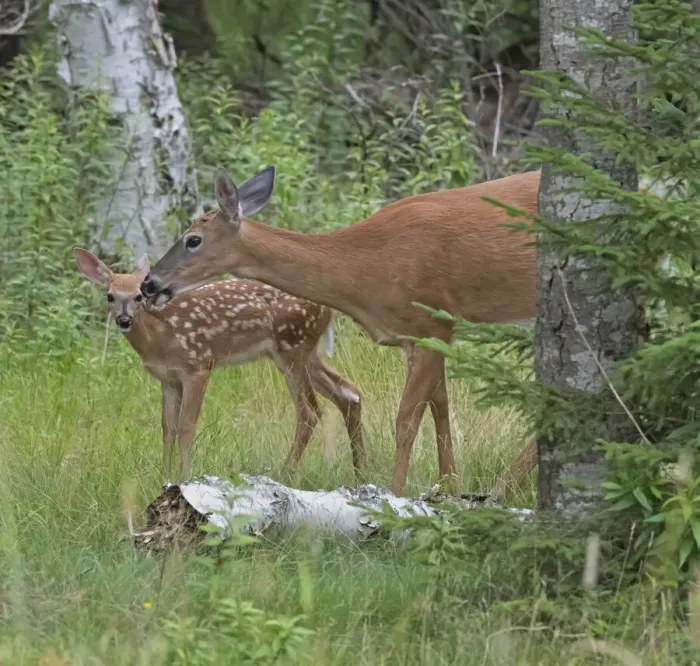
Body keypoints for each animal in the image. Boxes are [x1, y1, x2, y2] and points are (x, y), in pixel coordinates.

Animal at [74, 248, 366, 484]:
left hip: (293, 346)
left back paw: (285, 473)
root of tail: (328, 307)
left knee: (309, 412)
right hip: (302, 353)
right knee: (349, 392)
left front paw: (183, 478)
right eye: (110, 296)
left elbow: (186, 426)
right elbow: (167, 429)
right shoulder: (168, 379)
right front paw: (164, 477)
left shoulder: (198, 365)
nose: (124, 320)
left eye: (138, 296)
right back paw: (361, 471)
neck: (159, 338)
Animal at [138, 165, 543, 498]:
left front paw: (397, 496)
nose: (149, 283)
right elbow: (440, 406)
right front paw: (449, 488)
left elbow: (406, 420)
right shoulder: (422, 335)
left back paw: (500, 489)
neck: (366, 269)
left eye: (193, 239)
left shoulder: (432, 322)